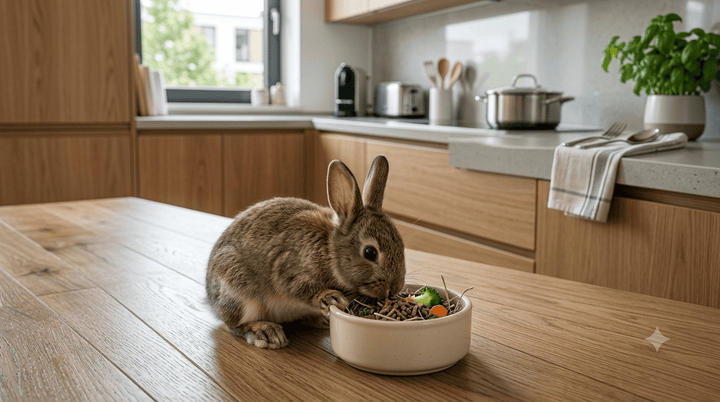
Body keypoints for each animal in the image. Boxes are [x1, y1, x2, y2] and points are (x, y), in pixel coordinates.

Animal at [206, 154, 406, 349]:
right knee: (235, 325)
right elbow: (301, 289)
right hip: (240, 295)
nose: (395, 288)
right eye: (370, 252)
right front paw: (331, 298)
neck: (330, 251)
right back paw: (266, 332)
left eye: (401, 244)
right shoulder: (290, 272)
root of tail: (211, 301)